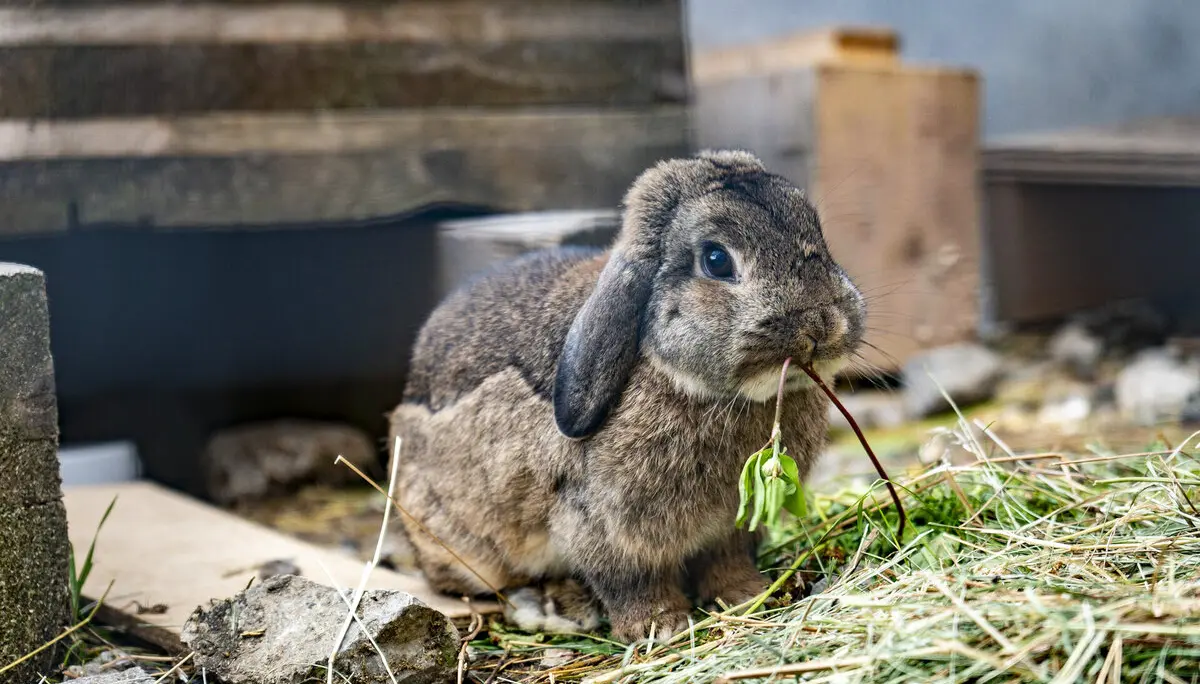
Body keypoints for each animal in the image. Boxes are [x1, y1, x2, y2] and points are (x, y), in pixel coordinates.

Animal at [387, 150, 867, 643]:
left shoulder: (729, 530)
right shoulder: (605, 527)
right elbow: (629, 581)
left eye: (817, 234)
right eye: (716, 260)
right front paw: (661, 625)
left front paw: (749, 595)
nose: (822, 326)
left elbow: (727, 563)